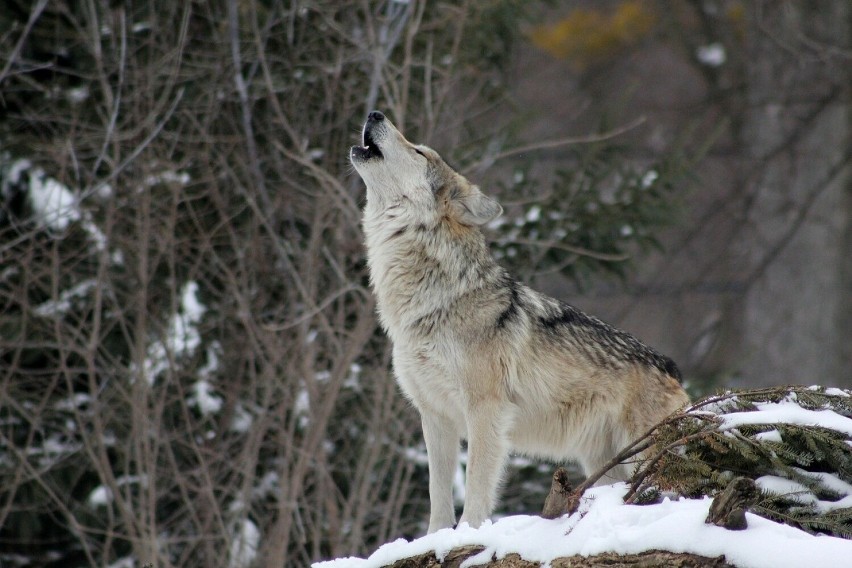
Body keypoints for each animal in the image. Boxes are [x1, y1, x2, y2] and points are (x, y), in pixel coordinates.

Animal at [350, 110, 688, 532]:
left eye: (419, 151)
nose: (374, 113)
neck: (432, 302)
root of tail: (672, 368)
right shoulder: (435, 416)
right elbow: (437, 495)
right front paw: (436, 538)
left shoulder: (486, 410)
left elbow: (476, 486)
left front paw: (468, 534)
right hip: (604, 464)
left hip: (642, 454)